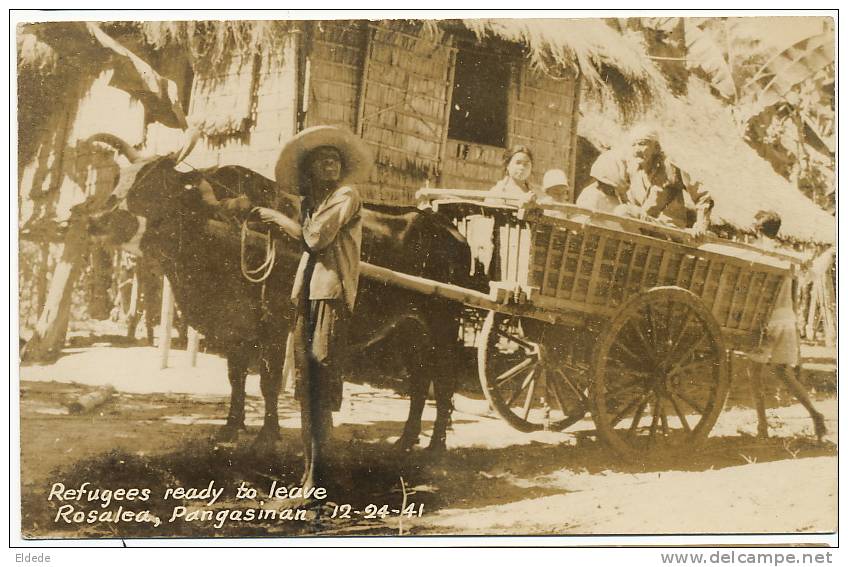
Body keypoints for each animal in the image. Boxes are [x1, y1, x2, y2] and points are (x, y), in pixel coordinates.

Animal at [88, 138, 474, 452]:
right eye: (121, 178)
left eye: (155, 183)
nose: (99, 221)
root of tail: (450, 229)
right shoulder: (236, 329)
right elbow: (236, 379)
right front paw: (230, 428)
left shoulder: (271, 324)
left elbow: (269, 382)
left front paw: (266, 435)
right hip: (409, 329)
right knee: (420, 379)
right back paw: (406, 439)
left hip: (443, 322)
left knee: (444, 380)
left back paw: (436, 445)